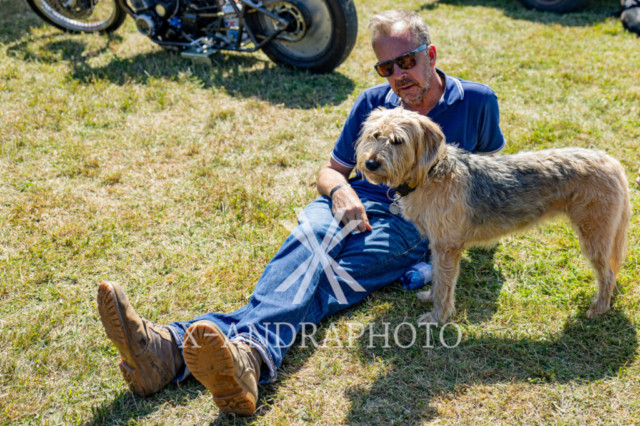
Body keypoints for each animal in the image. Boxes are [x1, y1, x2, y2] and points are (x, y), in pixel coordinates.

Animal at [355, 107, 631, 325]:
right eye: (375, 135)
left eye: (398, 141)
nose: (370, 164)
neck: (431, 173)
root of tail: (613, 163)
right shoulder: (438, 244)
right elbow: (436, 277)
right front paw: (430, 298)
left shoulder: (447, 247)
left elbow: (445, 284)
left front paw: (437, 318)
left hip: (594, 237)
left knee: (607, 275)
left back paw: (599, 308)